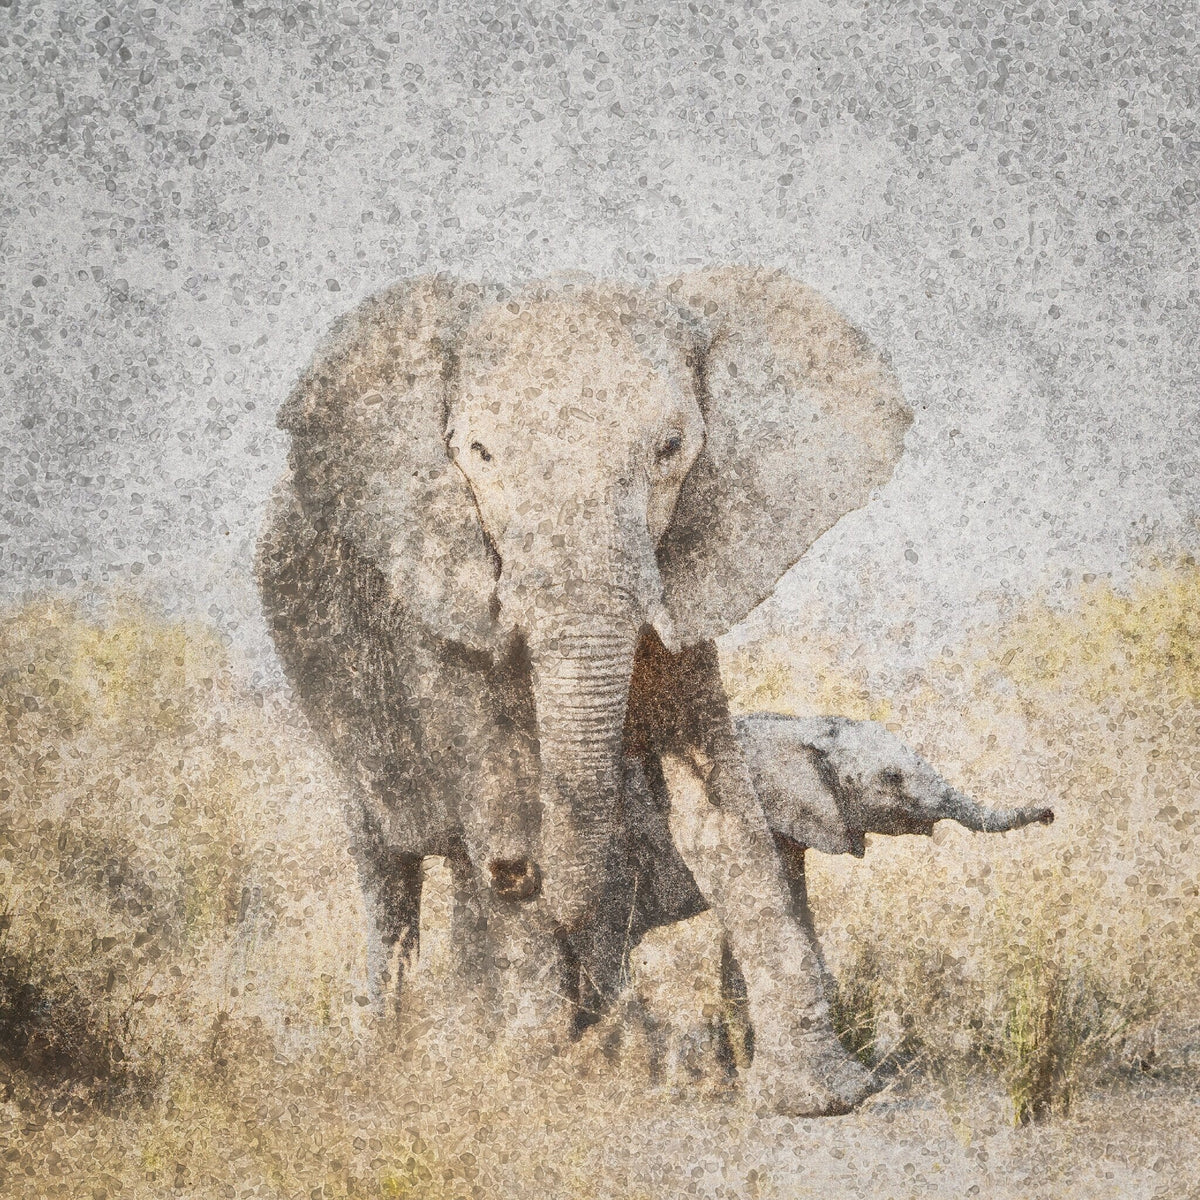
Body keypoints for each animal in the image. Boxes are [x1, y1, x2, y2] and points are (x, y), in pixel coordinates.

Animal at [255, 267, 912, 1115]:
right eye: (478, 452)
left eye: (670, 448)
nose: (523, 876)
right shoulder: (436, 583)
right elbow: (501, 796)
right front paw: (529, 1070)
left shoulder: (682, 579)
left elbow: (724, 814)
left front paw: (822, 1096)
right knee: (395, 867)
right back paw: (414, 1047)